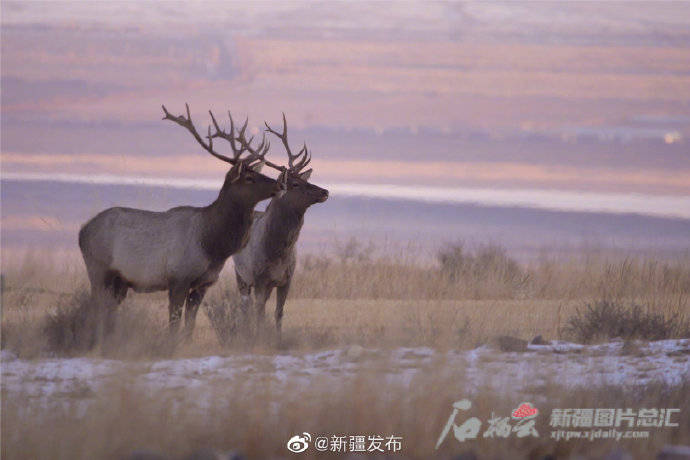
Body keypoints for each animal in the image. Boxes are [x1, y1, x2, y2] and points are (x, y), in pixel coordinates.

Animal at [79, 106, 286, 340]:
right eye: (249, 178)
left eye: (259, 173)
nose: (280, 184)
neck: (212, 244)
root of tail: (81, 231)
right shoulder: (178, 278)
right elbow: (174, 322)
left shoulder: (203, 283)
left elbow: (190, 325)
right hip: (98, 269)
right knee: (95, 308)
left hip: (119, 281)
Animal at [231, 113, 328, 340]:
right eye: (295, 184)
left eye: (303, 178)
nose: (325, 191)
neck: (278, 253)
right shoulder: (259, 278)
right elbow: (259, 313)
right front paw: (259, 338)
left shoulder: (287, 279)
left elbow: (278, 313)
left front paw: (278, 337)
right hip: (240, 275)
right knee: (245, 308)